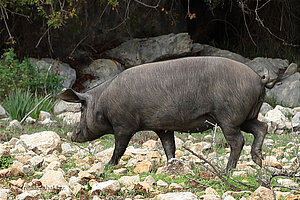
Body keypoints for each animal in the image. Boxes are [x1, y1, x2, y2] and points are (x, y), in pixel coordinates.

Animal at [58, 56, 270, 172]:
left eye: (81, 109)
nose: (72, 136)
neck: (103, 103)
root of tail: (259, 79)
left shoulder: (124, 125)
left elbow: (120, 147)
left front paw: (109, 165)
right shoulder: (163, 127)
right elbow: (169, 147)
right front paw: (171, 165)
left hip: (229, 117)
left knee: (238, 140)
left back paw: (227, 171)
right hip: (247, 116)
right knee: (262, 127)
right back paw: (258, 160)